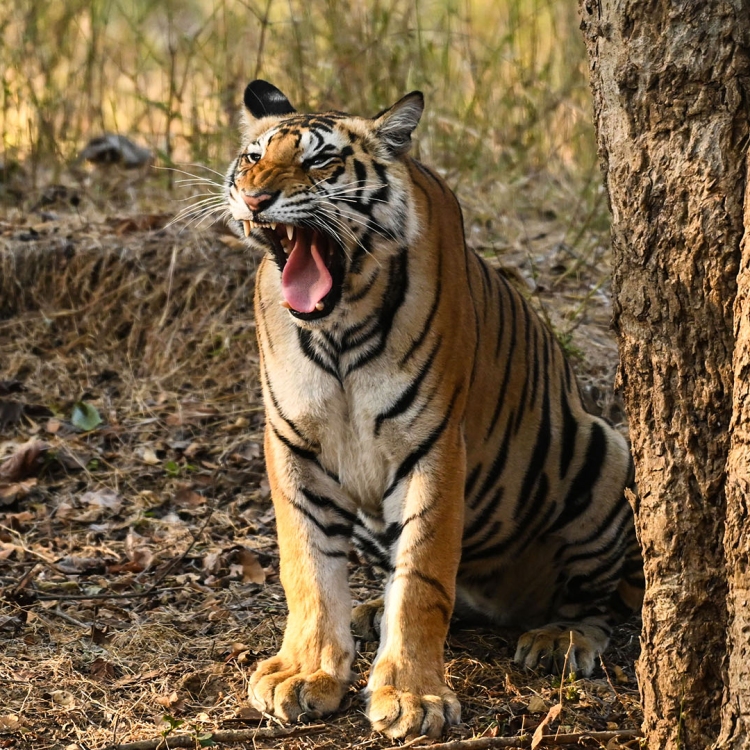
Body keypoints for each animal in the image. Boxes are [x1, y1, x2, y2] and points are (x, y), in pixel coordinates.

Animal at [224, 79, 643, 740]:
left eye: (320, 161)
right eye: (252, 157)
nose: (253, 196)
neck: (337, 327)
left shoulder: (434, 444)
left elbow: (422, 576)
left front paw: (411, 697)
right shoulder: (292, 442)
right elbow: (308, 568)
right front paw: (305, 672)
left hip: (606, 451)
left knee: (595, 601)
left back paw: (559, 638)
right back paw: (370, 611)